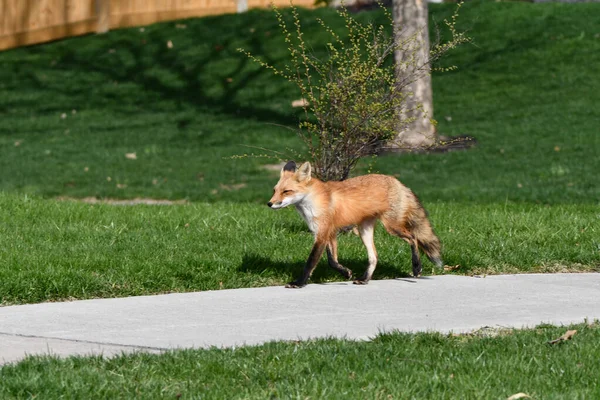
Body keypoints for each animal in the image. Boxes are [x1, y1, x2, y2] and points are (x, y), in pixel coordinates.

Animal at [270, 161, 442, 290]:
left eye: (286, 191)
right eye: (274, 190)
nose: (269, 203)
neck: (312, 201)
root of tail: (397, 181)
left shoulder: (323, 234)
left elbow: (311, 262)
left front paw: (299, 283)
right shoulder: (327, 232)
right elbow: (332, 261)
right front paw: (345, 272)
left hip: (392, 226)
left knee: (413, 238)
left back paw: (416, 267)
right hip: (364, 230)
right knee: (374, 257)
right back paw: (365, 279)